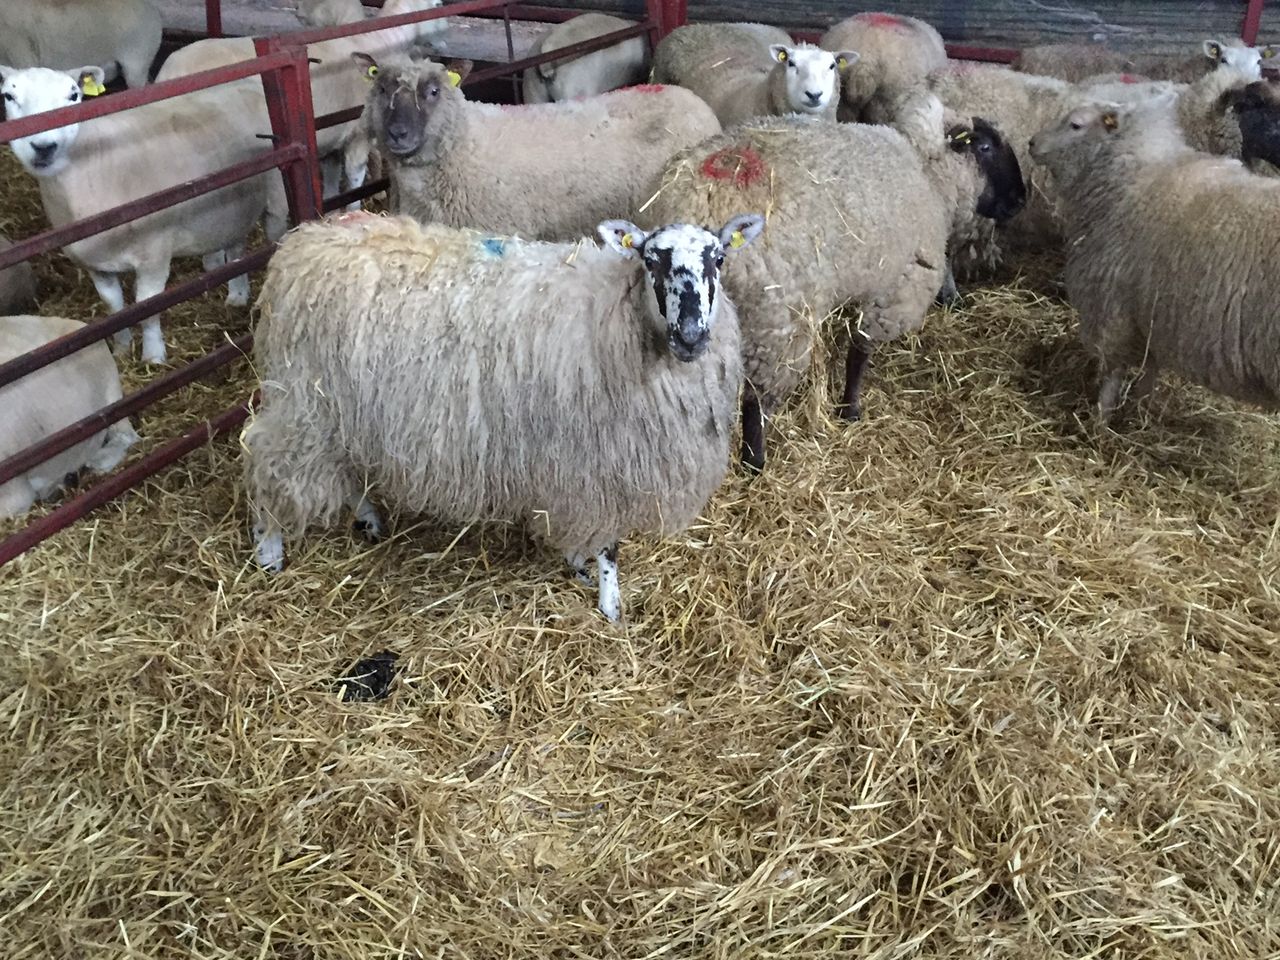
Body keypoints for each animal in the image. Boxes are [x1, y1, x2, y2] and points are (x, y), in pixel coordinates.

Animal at [0, 65, 288, 364]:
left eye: (73, 95)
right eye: (9, 95)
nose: (44, 146)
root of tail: (252, 85)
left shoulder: (154, 255)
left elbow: (147, 309)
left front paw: (153, 357)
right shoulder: (96, 266)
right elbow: (114, 308)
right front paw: (122, 348)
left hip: (276, 202)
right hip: (235, 207)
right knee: (236, 246)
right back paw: (237, 295)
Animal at [156, 0, 446, 204]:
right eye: (438, 4)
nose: (446, 37)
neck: (380, 41)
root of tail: (170, 72)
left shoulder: (330, 143)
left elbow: (331, 189)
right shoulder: (358, 135)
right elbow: (354, 184)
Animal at [243, 210, 765, 622]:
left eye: (719, 259)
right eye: (651, 260)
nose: (692, 335)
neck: (618, 315)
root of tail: (303, 241)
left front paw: (577, 564)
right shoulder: (598, 462)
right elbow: (609, 547)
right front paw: (609, 604)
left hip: (345, 411)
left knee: (347, 470)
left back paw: (369, 520)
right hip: (303, 402)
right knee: (266, 467)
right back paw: (269, 551)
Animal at [642, 101, 1025, 470]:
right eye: (986, 147)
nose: (1021, 200)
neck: (928, 174)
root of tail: (696, 203)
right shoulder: (893, 289)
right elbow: (860, 351)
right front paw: (850, 408)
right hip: (774, 319)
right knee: (756, 399)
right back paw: (755, 461)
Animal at [1028, 99, 1280, 422]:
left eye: (1076, 124)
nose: (1032, 142)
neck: (1129, 174)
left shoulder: (1112, 305)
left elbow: (1113, 372)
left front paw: (1100, 420)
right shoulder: (1153, 309)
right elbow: (1152, 363)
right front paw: (1142, 404)